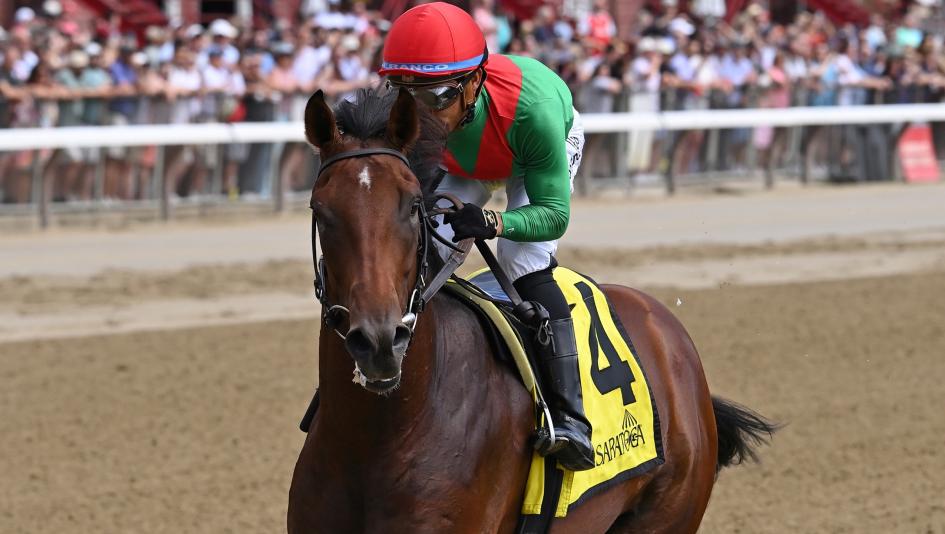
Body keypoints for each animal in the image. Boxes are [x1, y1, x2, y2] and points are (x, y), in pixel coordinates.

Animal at [288, 88, 776, 533]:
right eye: (320, 210)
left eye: (412, 206)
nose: (379, 342)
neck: (378, 437)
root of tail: (666, 327)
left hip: (668, 515)